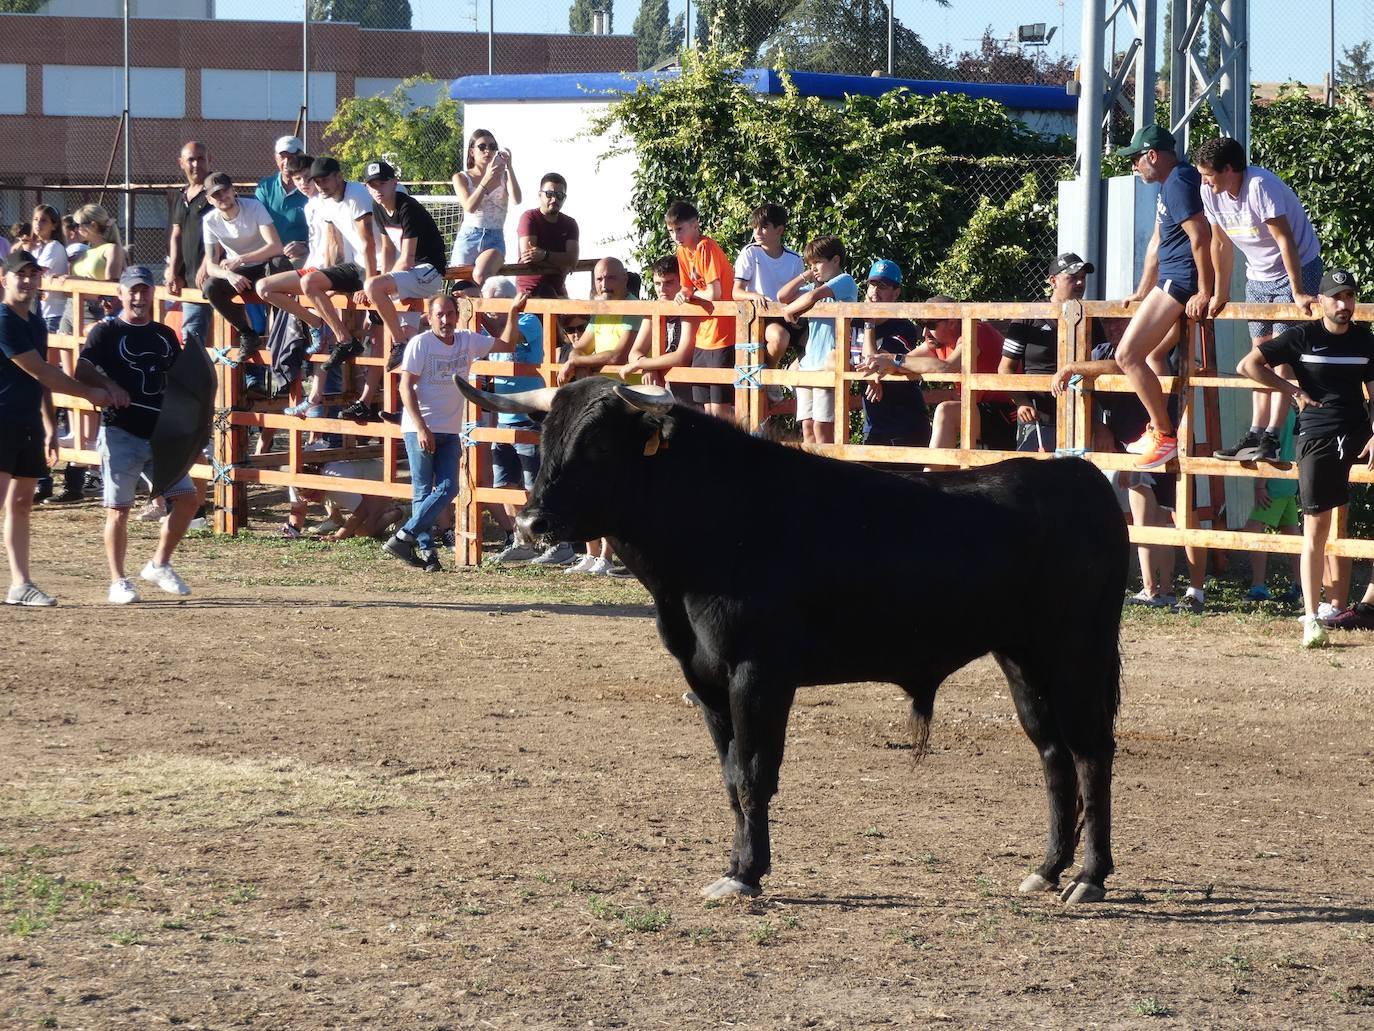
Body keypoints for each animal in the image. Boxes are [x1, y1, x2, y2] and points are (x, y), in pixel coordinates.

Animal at [456, 376, 1121, 901]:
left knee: (1091, 753)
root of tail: (1077, 472)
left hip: (1078, 652)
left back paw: (1088, 877)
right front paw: (736, 864)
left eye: (596, 444)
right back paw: (1046, 869)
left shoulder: (759, 672)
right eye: (545, 437)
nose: (531, 521)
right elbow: (731, 777)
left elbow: (755, 772)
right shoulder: (703, 676)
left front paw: (746, 874)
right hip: (1023, 659)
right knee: (1054, 755)